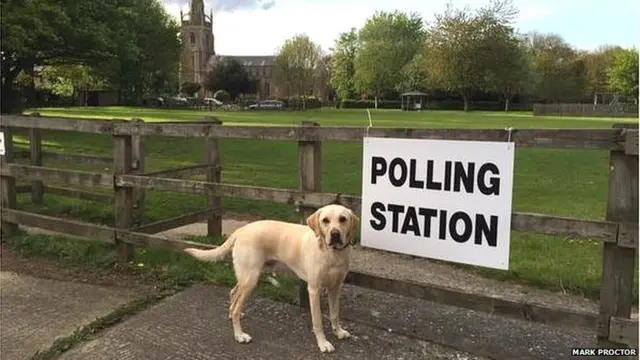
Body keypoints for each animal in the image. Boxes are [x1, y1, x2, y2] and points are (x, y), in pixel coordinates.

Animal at [182, 204, 358, 352]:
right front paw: (323, 343)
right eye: (325, 220)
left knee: (233, 293)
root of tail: (242, 229)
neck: (333, 254)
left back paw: (234, 316)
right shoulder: (314, 290)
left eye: (343, 219)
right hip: (251, 279)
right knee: (236, 305)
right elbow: (318, 320)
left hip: (246, 276)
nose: (335, 234)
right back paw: (239, 335)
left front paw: (338, 332)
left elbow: (334, 314)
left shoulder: (335, 288)